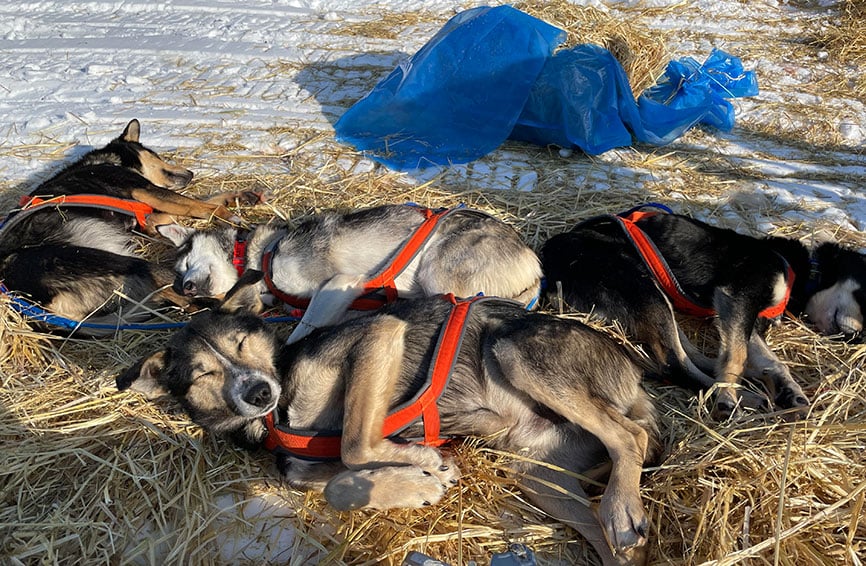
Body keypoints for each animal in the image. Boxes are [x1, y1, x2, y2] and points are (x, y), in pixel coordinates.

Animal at [0, 120, 256, 332]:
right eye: (155, 154)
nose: (190, 173)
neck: (107, 160)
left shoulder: (149, 217)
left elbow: (203, 201)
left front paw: (238, 197)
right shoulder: (146, 191)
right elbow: (200, 206)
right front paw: (228, 215)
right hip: (126, 263)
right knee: (194, 298)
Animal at [118, 272, 660, 564]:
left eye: (243, 341)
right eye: (203, 373)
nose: (257, 391)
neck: (279, 413)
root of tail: (632, 375)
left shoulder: (377, 336)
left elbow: (355, 441)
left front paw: (427, 465)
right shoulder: (310, 467)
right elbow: (339, 482)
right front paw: (414, 482)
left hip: (514, 350)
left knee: (630, 436)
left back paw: (622, 506)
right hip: (538, 474)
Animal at [157, 205, 540, 346]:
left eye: (185, 261)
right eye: (181, 277)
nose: (186, 288)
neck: (259, 257)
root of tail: (532, 263)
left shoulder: (338, 284)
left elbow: (302, 329)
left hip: (438, 270)